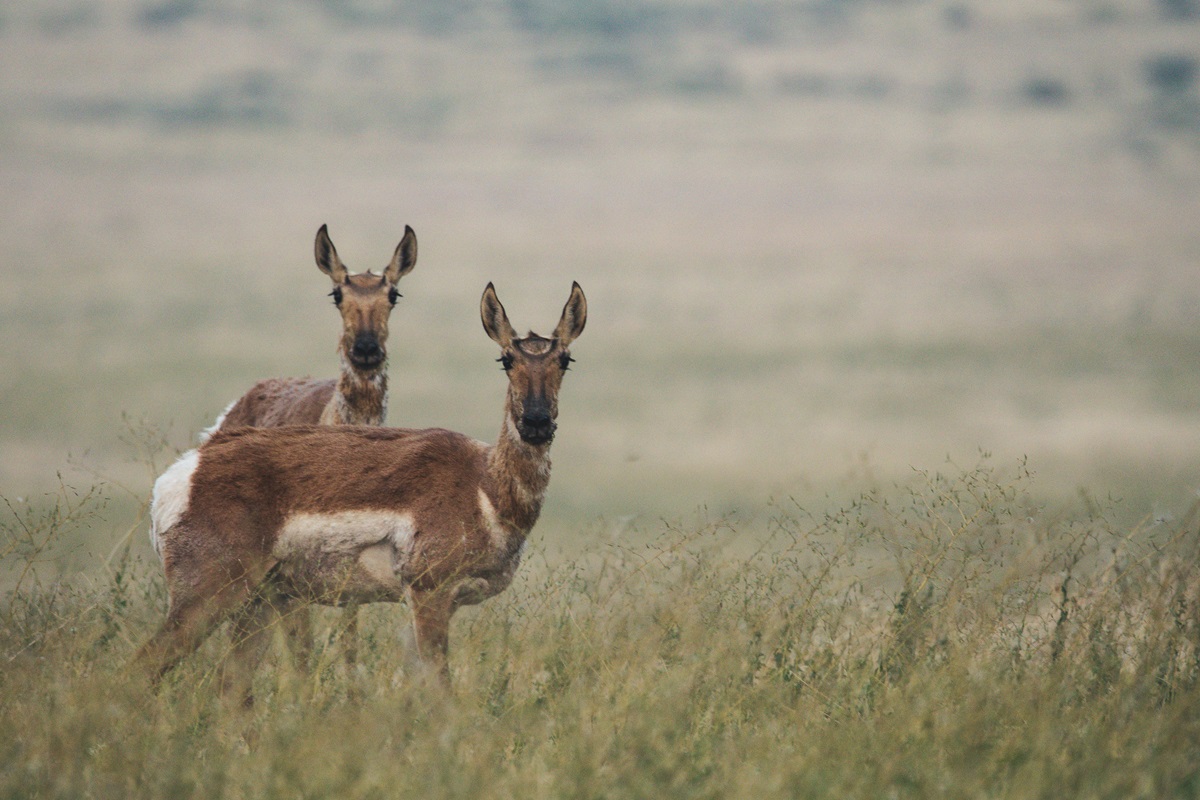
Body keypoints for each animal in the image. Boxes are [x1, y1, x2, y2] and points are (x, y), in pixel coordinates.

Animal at [138, 281, 588, 700]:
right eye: (506, 359)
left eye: (564, 359)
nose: (536, 423)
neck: (484, 483)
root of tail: (186, 471)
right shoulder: (429, 594)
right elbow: (440, 692)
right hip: (209, 596)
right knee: (143, 668)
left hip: (259, 603)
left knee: (230, 688)